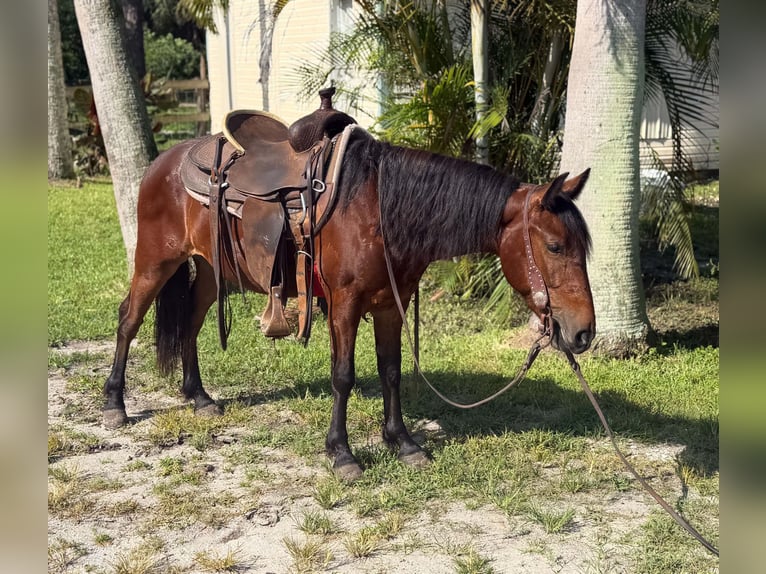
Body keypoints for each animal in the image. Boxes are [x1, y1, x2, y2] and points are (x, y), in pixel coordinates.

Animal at [102, 127, 595, 480]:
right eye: (554, 246)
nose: (583, 333)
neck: (377, 210)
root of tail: (164, 161)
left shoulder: (390, 305)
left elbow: (391, 371)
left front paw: (403, 442)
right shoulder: (344, 305)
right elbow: (344, 377)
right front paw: (341, 454)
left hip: (209, 270)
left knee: (190, 320)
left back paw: (199, 397)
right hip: (155, 260)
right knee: (128, 319)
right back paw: (114, 405)